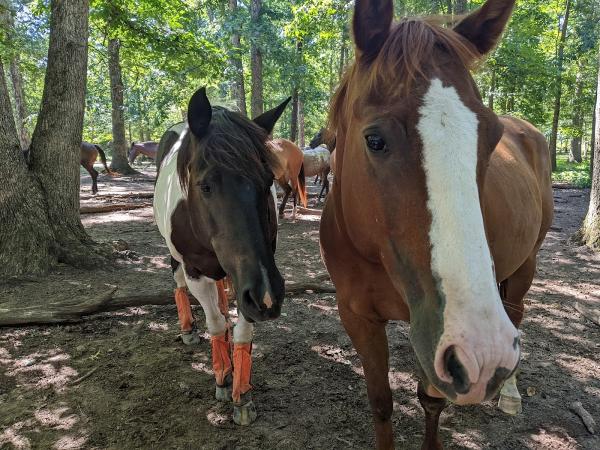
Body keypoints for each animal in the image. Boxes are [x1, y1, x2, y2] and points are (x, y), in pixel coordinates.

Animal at [152, 87, 288, 426]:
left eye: (268, 182)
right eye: (205, 185)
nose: (268, 296)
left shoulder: (249, 283)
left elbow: (242, 329)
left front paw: (242, 394)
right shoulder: (197, 270)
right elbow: (213, 322)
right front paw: (223, 379)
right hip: (178, 259)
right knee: (179, 283)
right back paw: (188, 330)